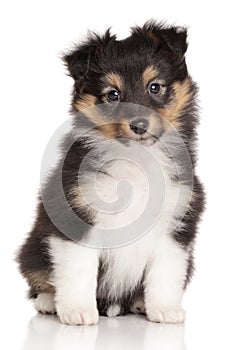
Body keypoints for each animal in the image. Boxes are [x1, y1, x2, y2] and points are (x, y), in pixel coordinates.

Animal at [17, 21, 204, 326]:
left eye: (155, 87)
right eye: (113, 94)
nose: (139, 125)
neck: (137, 160)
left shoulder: (176, 222)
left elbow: (165, 272)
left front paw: (165, 309)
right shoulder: (76, 214)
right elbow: (79, 270)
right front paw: (77, 311)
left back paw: (140, 303)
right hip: (32, 249)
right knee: (40, 278)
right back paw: (49, 302)